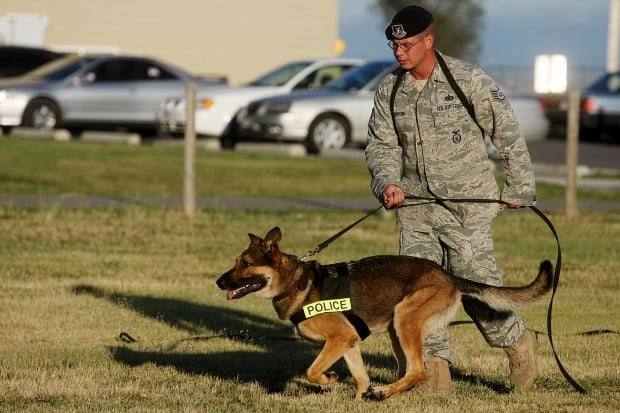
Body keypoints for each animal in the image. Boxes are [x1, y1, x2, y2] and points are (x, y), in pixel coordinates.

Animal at [216, 227, 548, 398]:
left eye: (245, 264)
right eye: (236, 262)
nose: (219, 282)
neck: (296, 282)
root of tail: (449, 276)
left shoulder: (337, 340)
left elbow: (312, 370)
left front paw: (329, 381)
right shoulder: (348, 342)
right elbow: (360, 378)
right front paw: (356, 398)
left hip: (404, 319)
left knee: (417, 369)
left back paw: (387, 392)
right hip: (395, 330)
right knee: (409, 369)